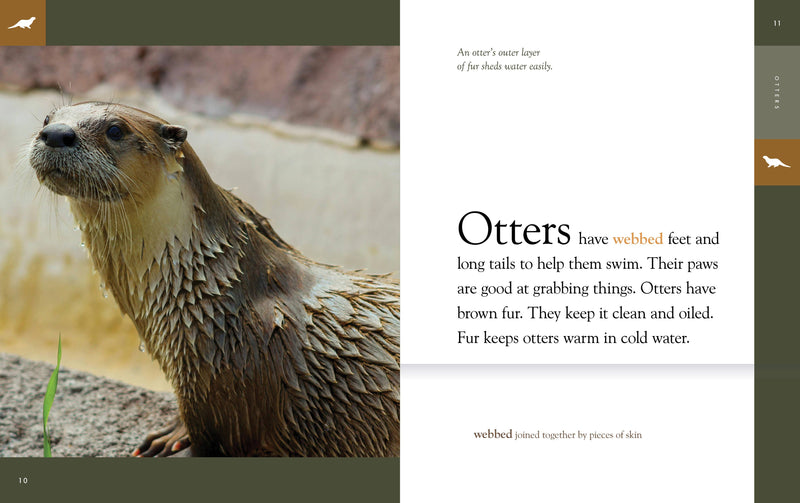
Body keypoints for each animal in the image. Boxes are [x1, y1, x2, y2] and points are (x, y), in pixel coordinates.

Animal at [28, 102, 399, 457]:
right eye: (47, 118)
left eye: (116, 130)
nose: (56, 133)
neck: (211, 286)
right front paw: (171, 433)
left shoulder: (223, 385)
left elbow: (212, 442)